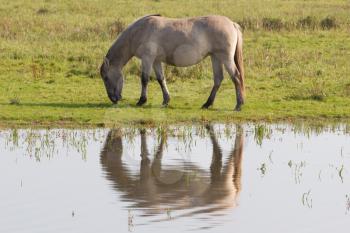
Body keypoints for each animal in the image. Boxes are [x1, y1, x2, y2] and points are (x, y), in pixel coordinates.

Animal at [100, 14, 245, 111]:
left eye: (106, 78)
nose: (113, 99)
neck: (141, 31)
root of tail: (231, 23)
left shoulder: (147, 58)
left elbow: (144, 79)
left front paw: (141, 101)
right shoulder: (156, 61)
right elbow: (161, 79)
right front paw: (166, 100)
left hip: (225, 58)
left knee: (236, 77)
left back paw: (238, 105)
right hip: (215, 57)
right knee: (218, 79)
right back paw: (207, 104)